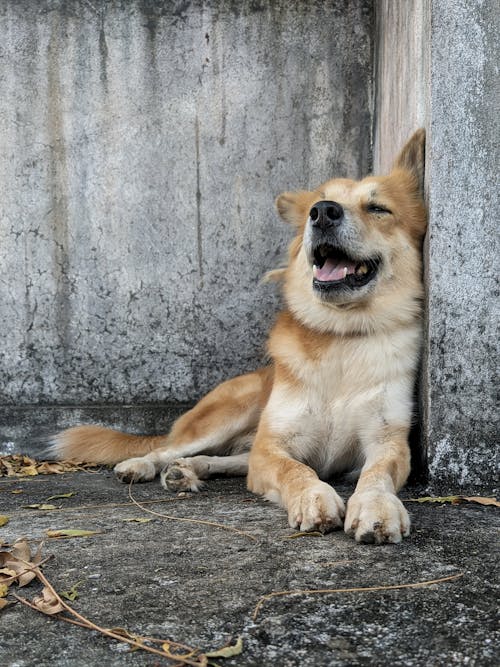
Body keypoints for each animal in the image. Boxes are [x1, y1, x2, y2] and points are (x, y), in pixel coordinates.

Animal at [49, 129, 426, 544]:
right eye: (316, 205)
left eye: (378, 208)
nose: (323, 212)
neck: (341, 336)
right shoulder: (272, 445)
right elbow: (296, 470)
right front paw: (313, 496)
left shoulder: (387, 442)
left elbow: (376, 474)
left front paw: (375, 506)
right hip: (232, 412)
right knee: (169, 448)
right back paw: (143, 464)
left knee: (225, 460)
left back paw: (190, 469)